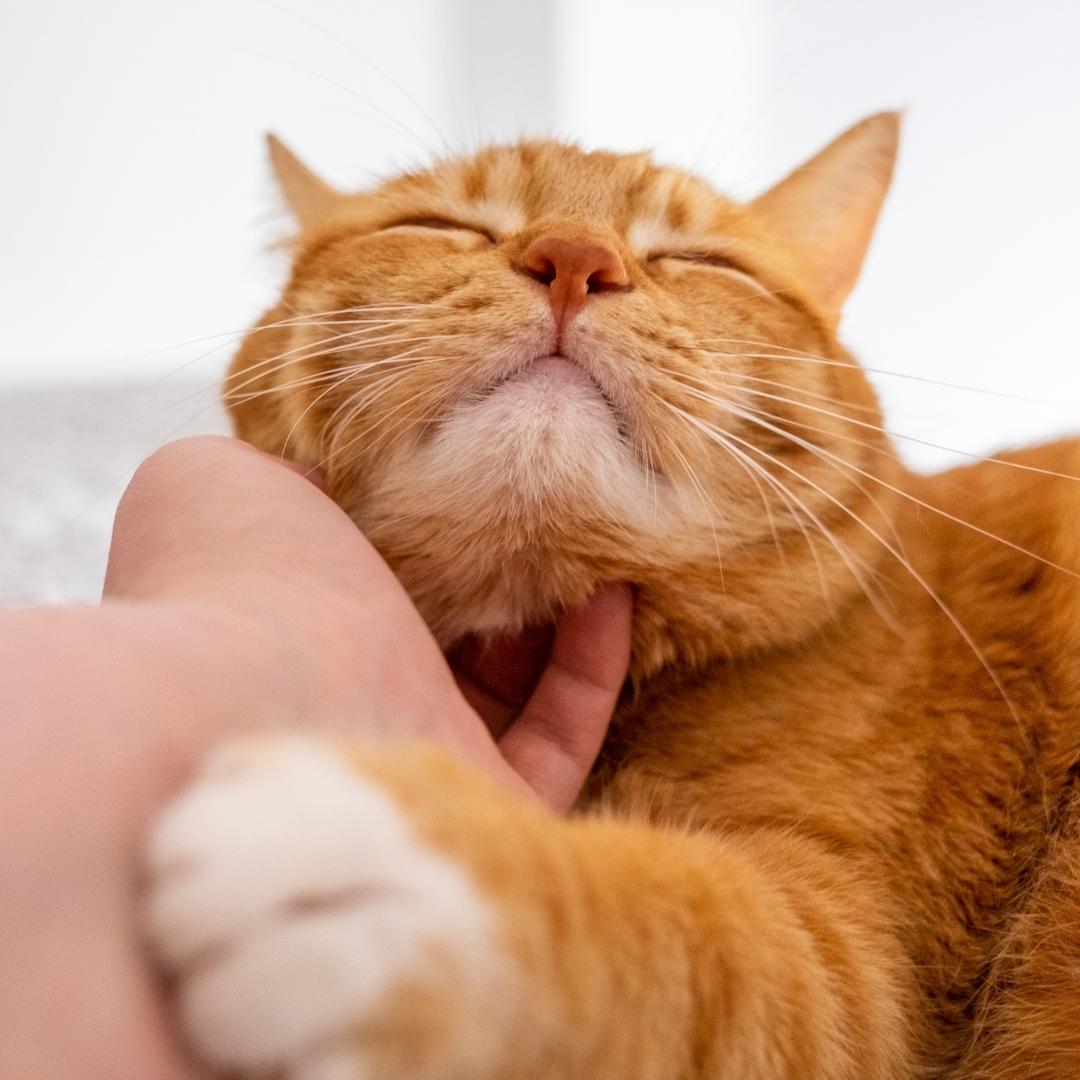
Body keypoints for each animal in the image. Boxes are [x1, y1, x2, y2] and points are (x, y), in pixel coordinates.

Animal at [147, 113, 1080, 1075]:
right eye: (441, 224)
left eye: (703, 260)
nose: (575, 257)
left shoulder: (851, 965)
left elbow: (688, 939)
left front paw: (412, 865)